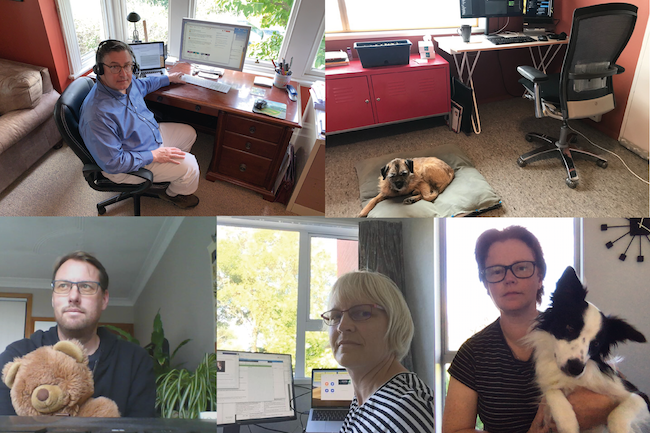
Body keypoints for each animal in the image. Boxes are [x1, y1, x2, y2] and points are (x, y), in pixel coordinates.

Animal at [520, 266, 648, 432]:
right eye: (569, 328)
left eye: (596, 344)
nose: (575, 369)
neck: (575, 380)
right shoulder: (549, 389)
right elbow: (553, 392)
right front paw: (568, 422)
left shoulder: (639, 395)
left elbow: (617, 415)